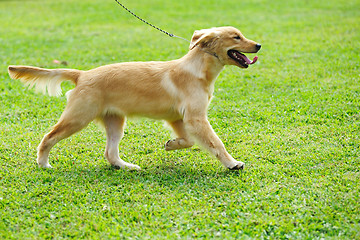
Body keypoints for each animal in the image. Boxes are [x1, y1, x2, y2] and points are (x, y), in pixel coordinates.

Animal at [7, 26, 260, 171]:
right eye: (236, 37)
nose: (258, 45)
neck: (198, 69)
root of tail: (82, 74)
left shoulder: (179, 119)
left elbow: (188, 141)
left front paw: (172, 144)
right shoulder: (196, 118)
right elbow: (216, 143)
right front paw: (232, 163)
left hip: (115, 121)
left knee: (110, 153)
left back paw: (125, 166)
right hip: (77, 118)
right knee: (48, 137)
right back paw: (43, 163)